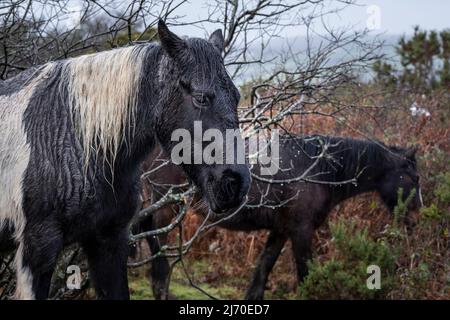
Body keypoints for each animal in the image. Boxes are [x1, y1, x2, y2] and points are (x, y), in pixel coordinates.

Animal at [134, 134, 422, 300]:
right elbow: (305, 273)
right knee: (157, 252)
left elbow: (264, 269)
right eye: (415, 178)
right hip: (165, 210)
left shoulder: (282, 230)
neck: (316, 168)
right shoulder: (301, 231)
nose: (416, 219)